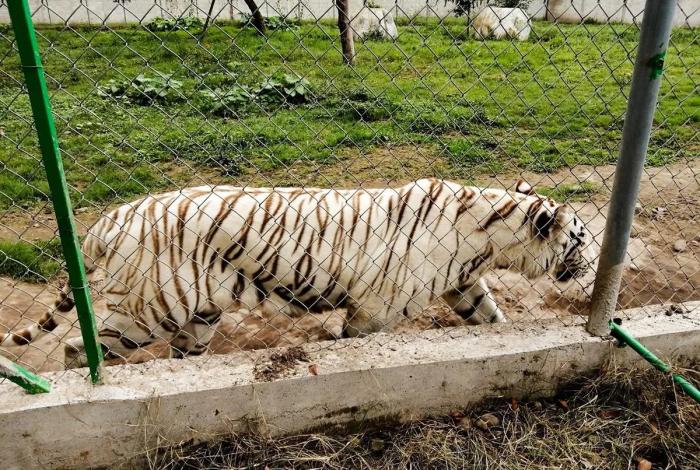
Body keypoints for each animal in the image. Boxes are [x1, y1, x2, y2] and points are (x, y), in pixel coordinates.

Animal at [1, 178, 592, 367]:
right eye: (582, 239)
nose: (592, 265)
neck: (488, 237)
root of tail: (113, 216)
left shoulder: (464, 283)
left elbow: (491, 319)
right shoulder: (375, 308)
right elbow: (355, 340)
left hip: (199, 315)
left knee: (180, 354)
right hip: (149, 309)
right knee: (79, 348)